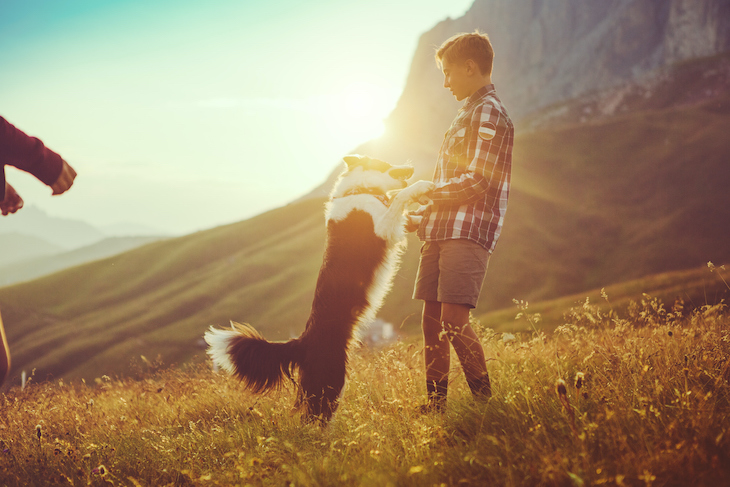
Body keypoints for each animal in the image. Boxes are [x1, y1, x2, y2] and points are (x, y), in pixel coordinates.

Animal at [203, 155, 432, 424]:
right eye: (384, 162)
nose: (412, 167)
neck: (359, 190)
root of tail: (302, 341)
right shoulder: (383, 227)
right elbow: (400, 196)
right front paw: (422, 186)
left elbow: (406, 209)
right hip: (331, 379)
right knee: (315, 417)